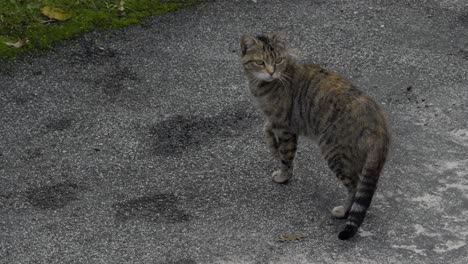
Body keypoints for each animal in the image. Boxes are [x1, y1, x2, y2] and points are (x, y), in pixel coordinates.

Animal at [239, 32, 390, 239]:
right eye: (260, 62)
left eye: (278, 60)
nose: (271, 72)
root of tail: (379, 123)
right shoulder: (275, 120)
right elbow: (267, 130)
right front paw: (272, 147)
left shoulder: (285, 127)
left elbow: (286, 157)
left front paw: (283, 175)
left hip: (334, 152)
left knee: (355, 185)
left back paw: (344, 211)